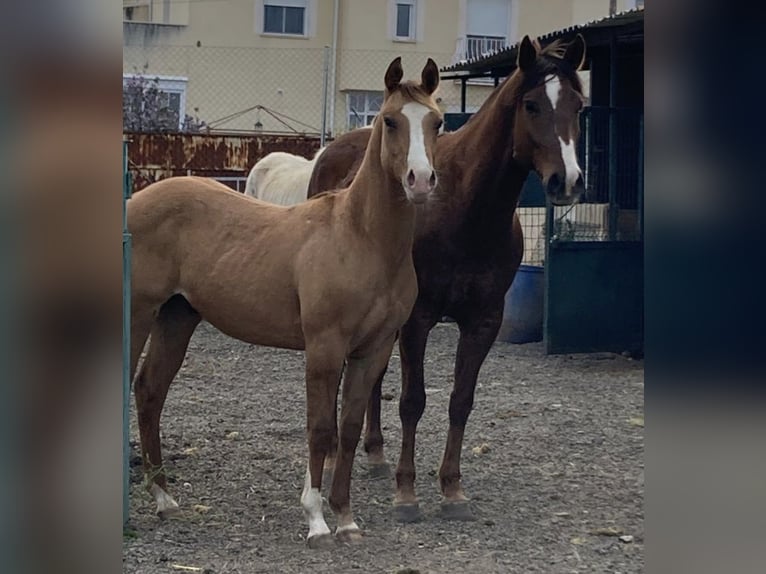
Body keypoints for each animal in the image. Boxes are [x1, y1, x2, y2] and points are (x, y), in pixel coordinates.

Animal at [128, 56, 444, 547]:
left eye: (437, 122)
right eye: (391, 121)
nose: (422, 180)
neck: (360, 238)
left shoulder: (373, 350)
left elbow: (348, 429)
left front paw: (346, 518)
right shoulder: (324, 347)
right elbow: (320, 429)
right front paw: (316, 521)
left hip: (177, 318)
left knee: (149, 390)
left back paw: (164, 498)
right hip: (138, 313)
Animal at [307, 34, 588, 522]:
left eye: (579, 106)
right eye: (532, 105)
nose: (566, 181)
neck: (464, 206)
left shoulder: (483, 322)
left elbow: (461, 401)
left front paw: (452, 488)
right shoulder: (418, 319)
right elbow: (413, 401)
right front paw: (407, 492)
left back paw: (375, 452)